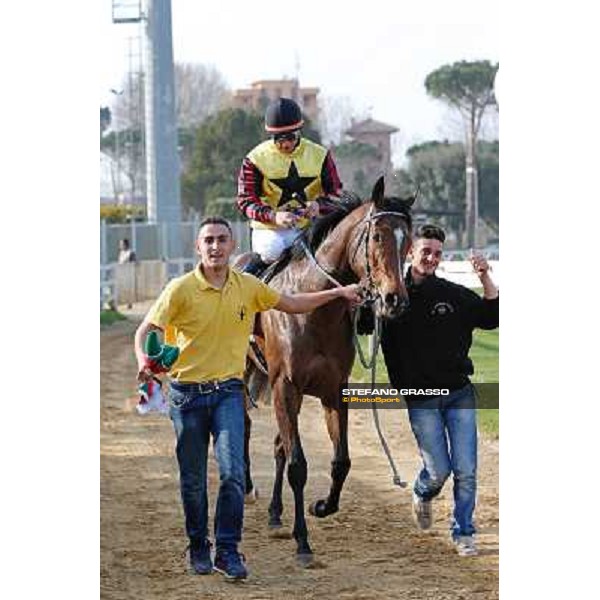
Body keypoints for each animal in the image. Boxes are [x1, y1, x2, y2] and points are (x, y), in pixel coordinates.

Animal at [237, 176, 414, 564]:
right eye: (377, 237)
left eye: (409, 240)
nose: (395, 299)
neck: (313, 305)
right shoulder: (285, 386)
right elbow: (299, 465)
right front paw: (302, 542)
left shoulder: (334, 390)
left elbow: (340, 461)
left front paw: (321, 507)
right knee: (242, 426)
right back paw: (245, 486)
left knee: (278, 444)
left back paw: (275, 513)